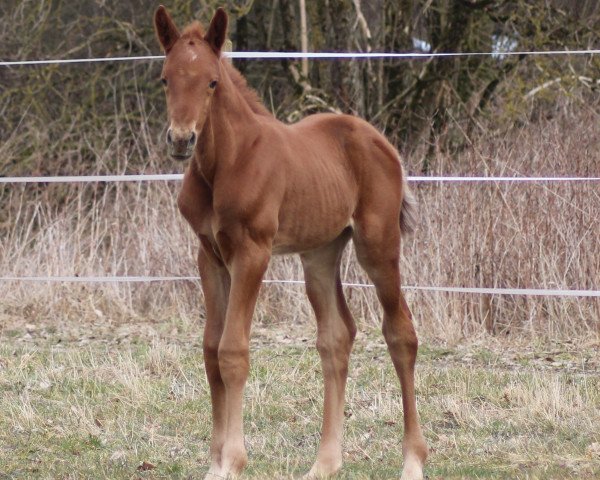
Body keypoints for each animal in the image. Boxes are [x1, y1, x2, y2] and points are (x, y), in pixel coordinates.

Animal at [155, 5, 426, 478]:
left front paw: (233, 461)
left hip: (377, 244)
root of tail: (382, 143)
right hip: (320, 252)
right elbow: (210, 350)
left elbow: (232, 351)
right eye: (166, 78)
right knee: (336, 337)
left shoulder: (252, 252)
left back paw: (412, 461)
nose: (182, 139)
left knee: (401, 334)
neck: (226, 162)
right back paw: (326, 463)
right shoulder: (209, 256)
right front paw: (214, 462)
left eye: (211, 81)